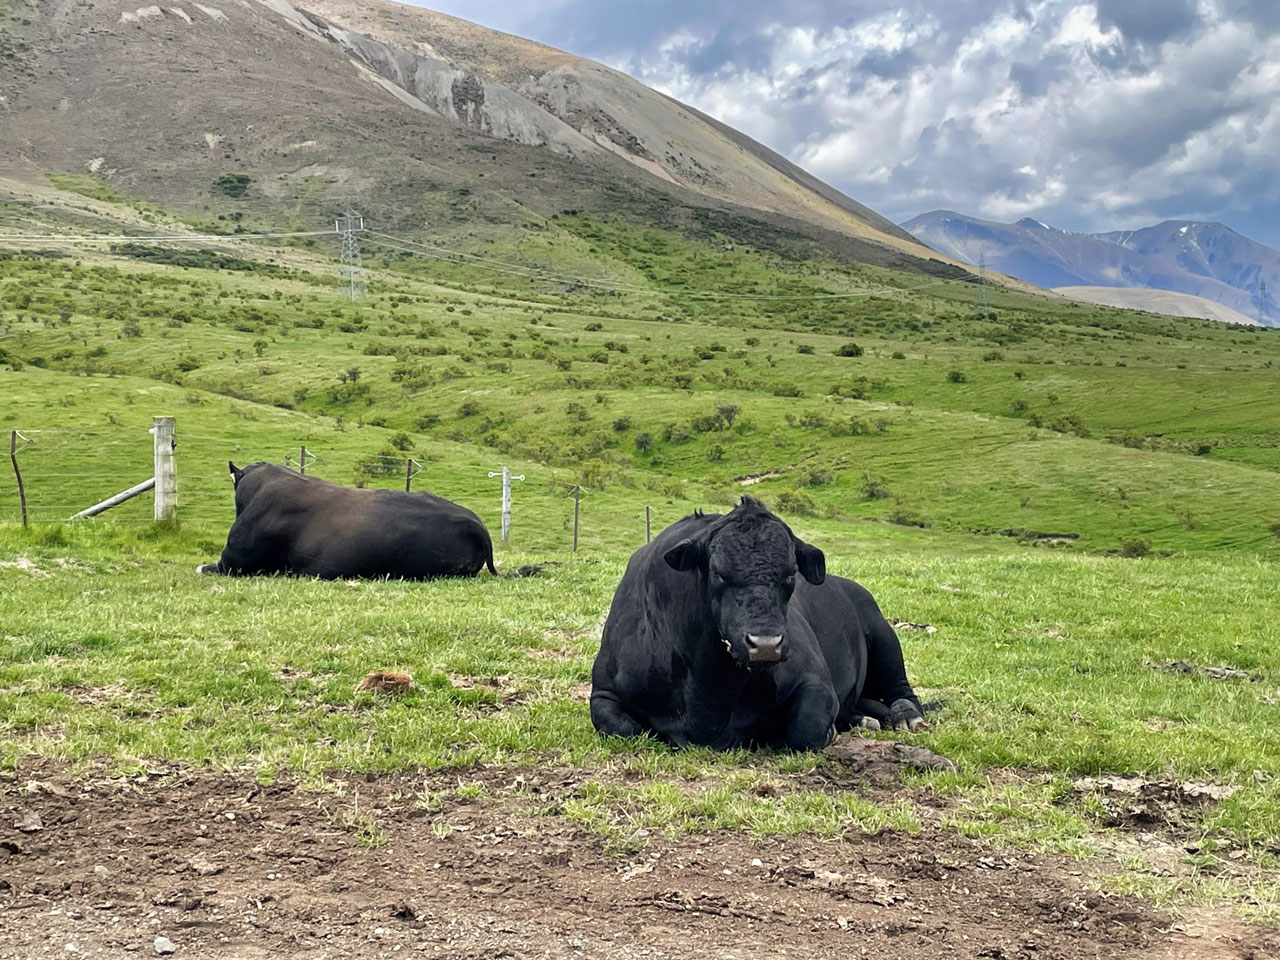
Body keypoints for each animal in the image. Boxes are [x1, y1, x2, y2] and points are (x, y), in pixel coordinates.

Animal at [593, 499, 926, 757]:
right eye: (718, 572)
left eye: (791, 573)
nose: (766, 644)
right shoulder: (603, 692)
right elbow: (622, 728)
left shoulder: (815, 680)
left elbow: (806, 729)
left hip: (884, 636)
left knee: (904, 692)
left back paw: (906, 717)